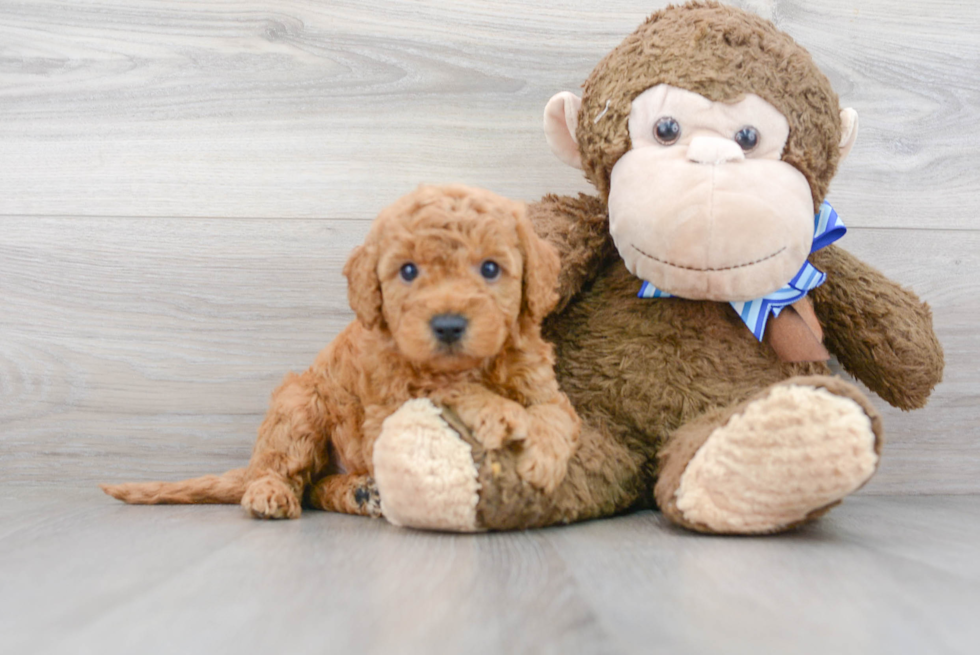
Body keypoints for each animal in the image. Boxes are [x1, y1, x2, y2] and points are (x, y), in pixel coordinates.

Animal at [102, 183, 580, 516]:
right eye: (408, 271)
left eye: (490, 268)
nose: (447, 325)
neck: (473, 365)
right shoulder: (393, 400)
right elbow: (451, 389)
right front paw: (502, 414)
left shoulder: (542, 385)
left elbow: (557, 416)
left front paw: (544, 455)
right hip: (299, 406)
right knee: (282, 471)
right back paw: (271, 493)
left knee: (316, 489)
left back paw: (361, 491)